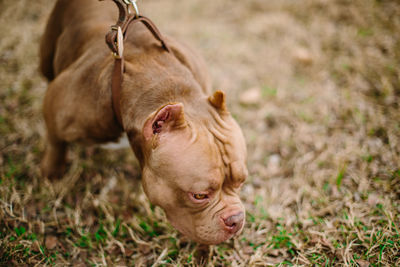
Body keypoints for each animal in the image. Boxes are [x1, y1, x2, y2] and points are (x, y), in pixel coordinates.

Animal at [40, 0, 247, 245]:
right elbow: (56, 142)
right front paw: (52, 171)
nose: (236, 219)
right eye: (199, 195)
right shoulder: (54, 105)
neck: (165, 83)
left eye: (241, 182)